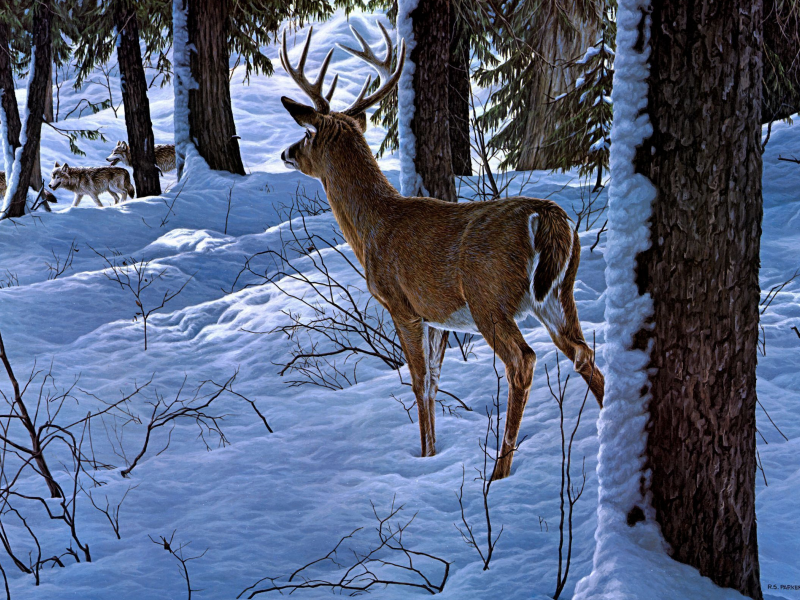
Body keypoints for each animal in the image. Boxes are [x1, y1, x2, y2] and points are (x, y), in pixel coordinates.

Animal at [278, 23, 604, 480]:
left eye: (307, 134)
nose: (286, 151)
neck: (373, 226)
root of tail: (547, 216)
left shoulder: (401, 303)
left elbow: (418, 381)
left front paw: (424, 455)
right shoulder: (436, 316)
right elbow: (433, 381)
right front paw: (432, 456)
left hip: (489, 296)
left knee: (522, 361)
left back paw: (499, 473)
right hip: (559, 293)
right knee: (583, 354)